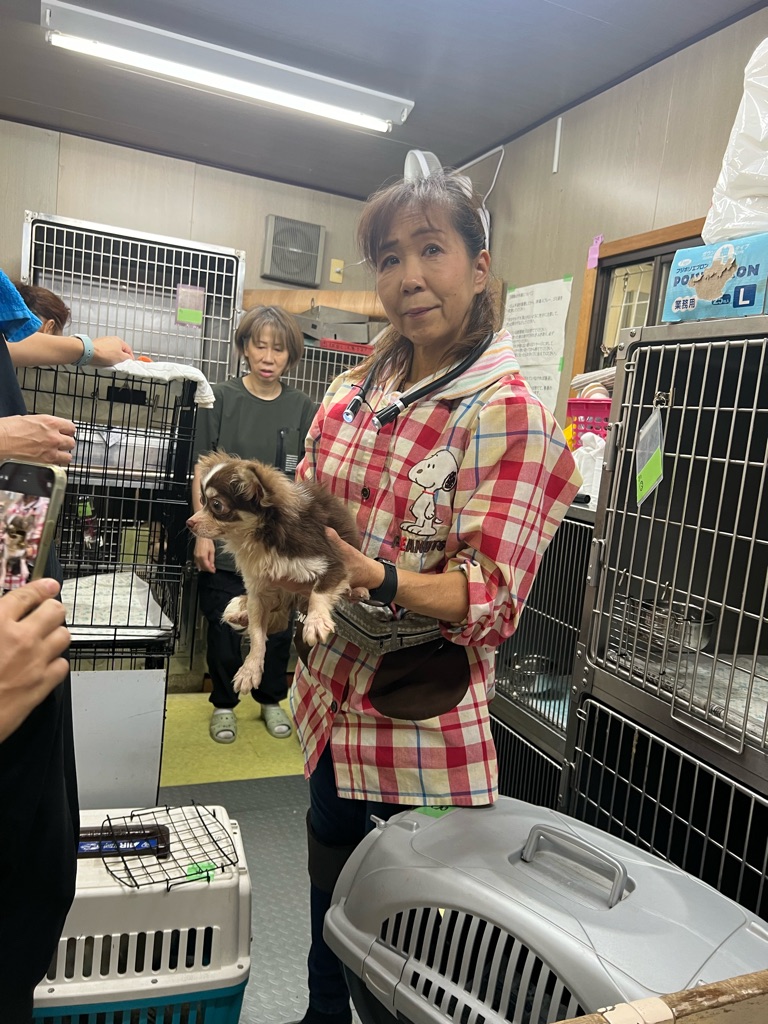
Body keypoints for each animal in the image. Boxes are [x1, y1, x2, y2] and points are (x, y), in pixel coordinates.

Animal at [187, 451, 363, 695]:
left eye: (216, 505)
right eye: (201, 501)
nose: (189, 522)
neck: (257, 537)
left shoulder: (333, 562)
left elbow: (319, 593)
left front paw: (315, 621)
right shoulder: (259, 591)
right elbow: (258, 636)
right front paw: (250, 669)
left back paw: (359, 592)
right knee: (276, 617)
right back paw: (242, 613)